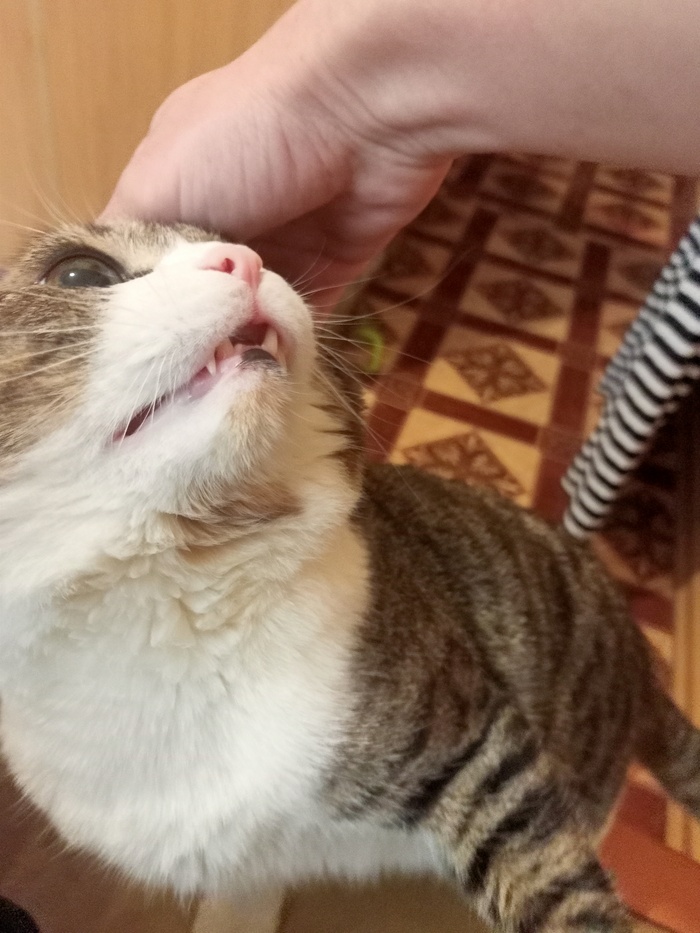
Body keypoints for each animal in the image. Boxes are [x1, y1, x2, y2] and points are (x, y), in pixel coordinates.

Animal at [0, 220, 698, 933]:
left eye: (246, 246)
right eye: (80, 273)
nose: (245, 259)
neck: (170, 602)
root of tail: (638, 662)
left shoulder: (473, 745)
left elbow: (550, 879)